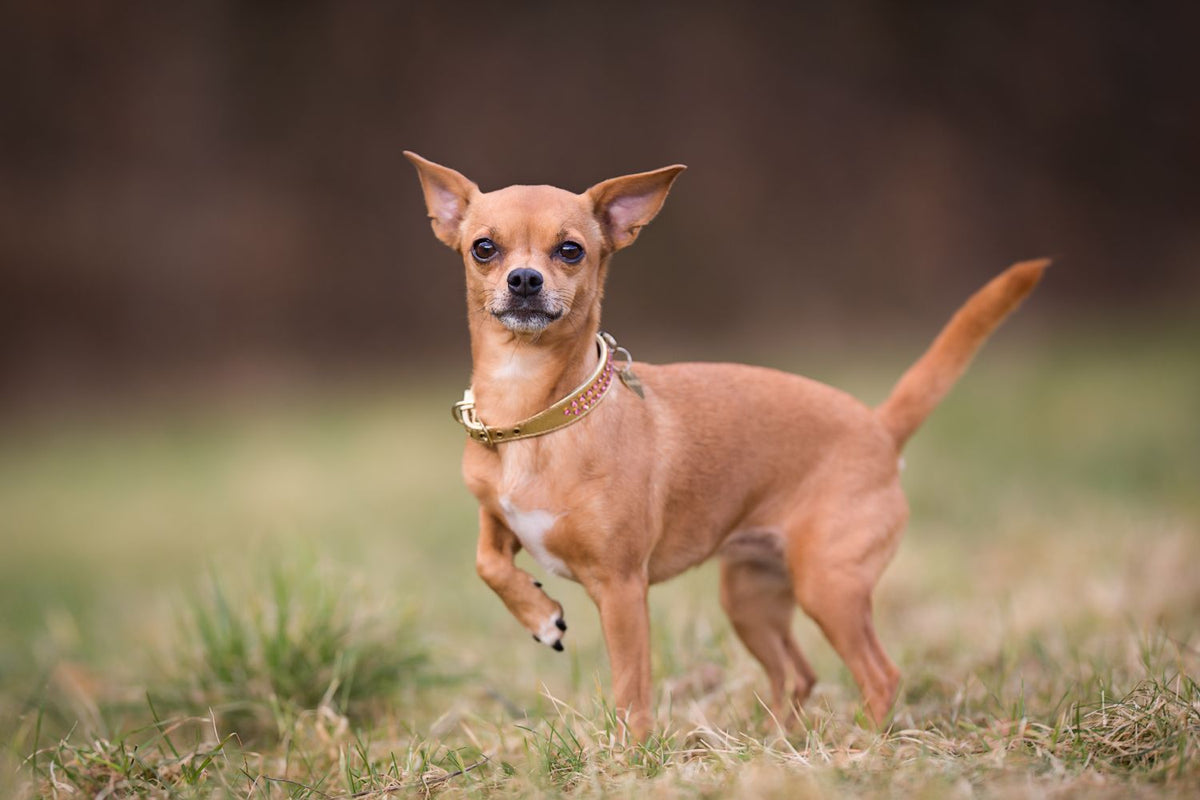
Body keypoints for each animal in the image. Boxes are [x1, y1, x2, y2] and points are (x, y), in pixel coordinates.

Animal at [408, 153, 1046, 743]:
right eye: (483, 248)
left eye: (570, 251)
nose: (524, 280)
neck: (535, 416)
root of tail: (879, 427)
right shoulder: (498, 518)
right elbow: (488, 562)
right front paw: (540, 617)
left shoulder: (622, 589)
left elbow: (631, 688)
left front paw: (632, 757)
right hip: (750, 599)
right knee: (798, 673)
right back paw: (780, 743)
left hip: (829, 587)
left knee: (879, 675)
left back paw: (860, 746)